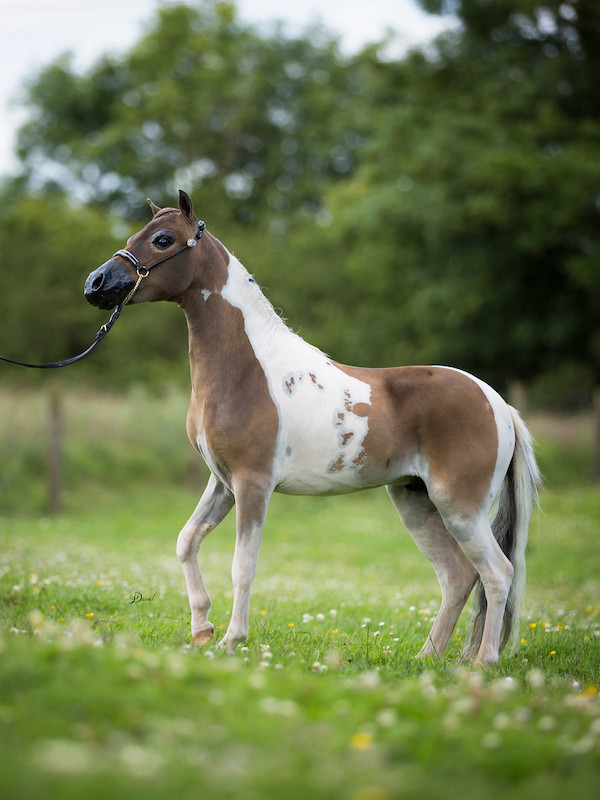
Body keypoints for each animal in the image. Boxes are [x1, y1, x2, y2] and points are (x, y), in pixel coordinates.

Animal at [84, 190, 540, 667]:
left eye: (163, 239)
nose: (96, 284)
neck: (247, 369)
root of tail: (499, 404)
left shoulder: (252, 483)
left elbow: (243, 564)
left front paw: (231, 640)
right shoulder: (222, 482)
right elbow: (186, 541)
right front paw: (202, 630)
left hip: (460, 507)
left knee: (498, 572)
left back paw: (483, 661)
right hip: (417, 502)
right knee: (458, 576)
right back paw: (425, 658)